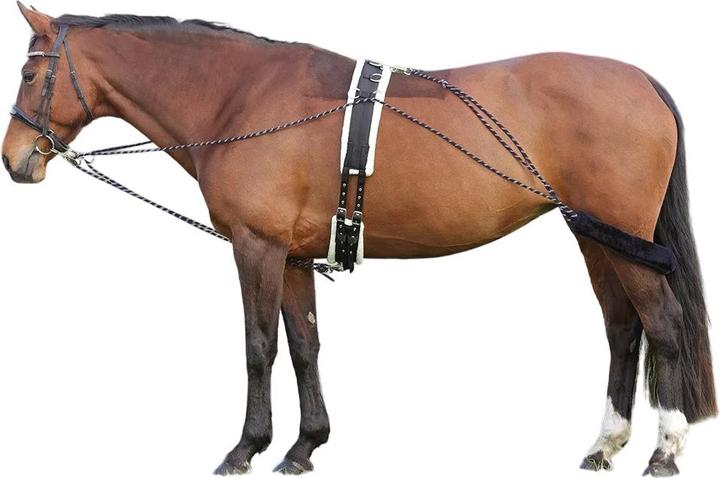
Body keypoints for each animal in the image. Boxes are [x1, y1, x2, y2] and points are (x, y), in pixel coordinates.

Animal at [2, 3, 715, 476]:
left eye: (31, 75)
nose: (16, 160)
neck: (240, 96)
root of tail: (642, 81)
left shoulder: (255, 247)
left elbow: (259, 346)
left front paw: (245, 448)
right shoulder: (290, 254)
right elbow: (304, 345)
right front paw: (304, 445)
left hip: (622, 238)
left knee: (664, 324)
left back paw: (664, 450)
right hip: (597, 237)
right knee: (623, 327)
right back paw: (604, 444)